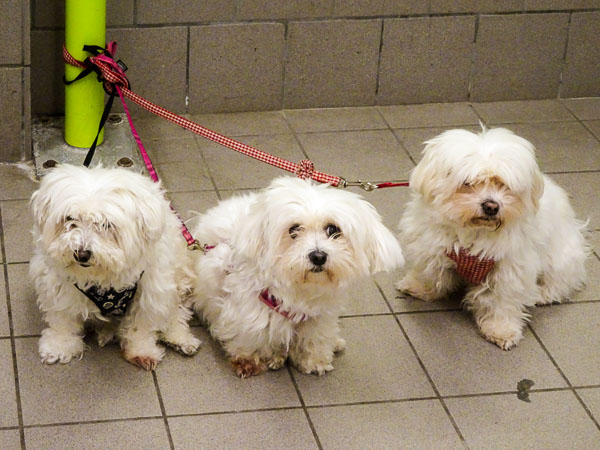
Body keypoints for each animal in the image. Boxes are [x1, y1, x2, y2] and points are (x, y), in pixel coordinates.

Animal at [29, 164, 202, 370]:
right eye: (69, 219)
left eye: (106, 225)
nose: (82, 254)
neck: (103, 278)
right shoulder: (59, 286)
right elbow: (62, 320)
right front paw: (59, 346)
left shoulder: (151, 292)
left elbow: (141, 325)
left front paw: (141, 350)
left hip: (179, 279)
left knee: (177, 312)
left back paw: (180, 338)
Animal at [185, 176, 406, 376]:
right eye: (294, 230)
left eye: (333, 229)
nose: (318, 256)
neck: (300, 291)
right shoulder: (247, 314)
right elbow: (250, 338)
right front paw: (251, 360)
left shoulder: (318, 318)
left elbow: (314, 339)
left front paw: (315, 360)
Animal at [396, 126, 588, 352]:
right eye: (468, 183)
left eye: (504, 185)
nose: (491, 206)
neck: (474, 232)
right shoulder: (432, 247)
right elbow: (430, 273)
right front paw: (418, 287)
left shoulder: (510, 269)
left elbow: (501, 301)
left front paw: (501, 329)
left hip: (560, 259)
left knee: (559, 284)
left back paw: (539, 294)